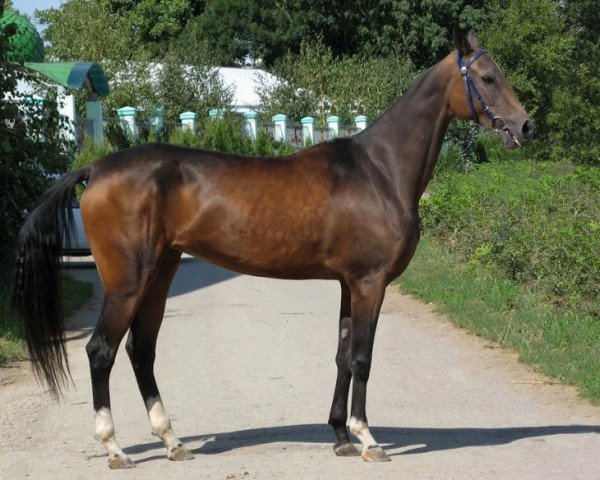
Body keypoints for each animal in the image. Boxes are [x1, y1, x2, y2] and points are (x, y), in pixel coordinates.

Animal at [10, 30, 536, 468]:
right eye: (487, 77)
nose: (527, 126)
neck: (380, 171)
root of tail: (96, 169)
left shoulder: (348, 284)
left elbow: (342, 355)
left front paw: (340, 437)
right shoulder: (370, 283)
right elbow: (363, 358)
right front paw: (368, 440)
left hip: (161, 273)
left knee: (143, 350)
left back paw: (172, 441)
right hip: (127, 282)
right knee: (101, 351)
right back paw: (115, 448)